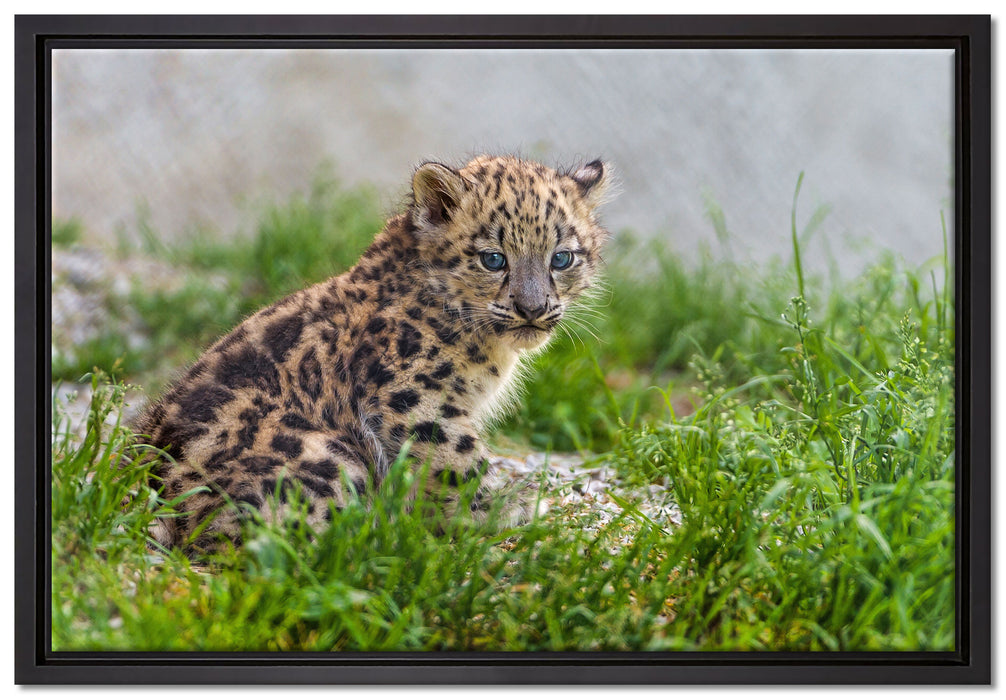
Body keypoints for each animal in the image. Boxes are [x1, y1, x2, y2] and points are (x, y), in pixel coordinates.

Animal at [132, 154, 611, 554]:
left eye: (562, 258)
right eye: (493, 259)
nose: (533, 308)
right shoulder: (415, 400)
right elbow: (460, 462)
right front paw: (509, 507)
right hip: (329, 456)